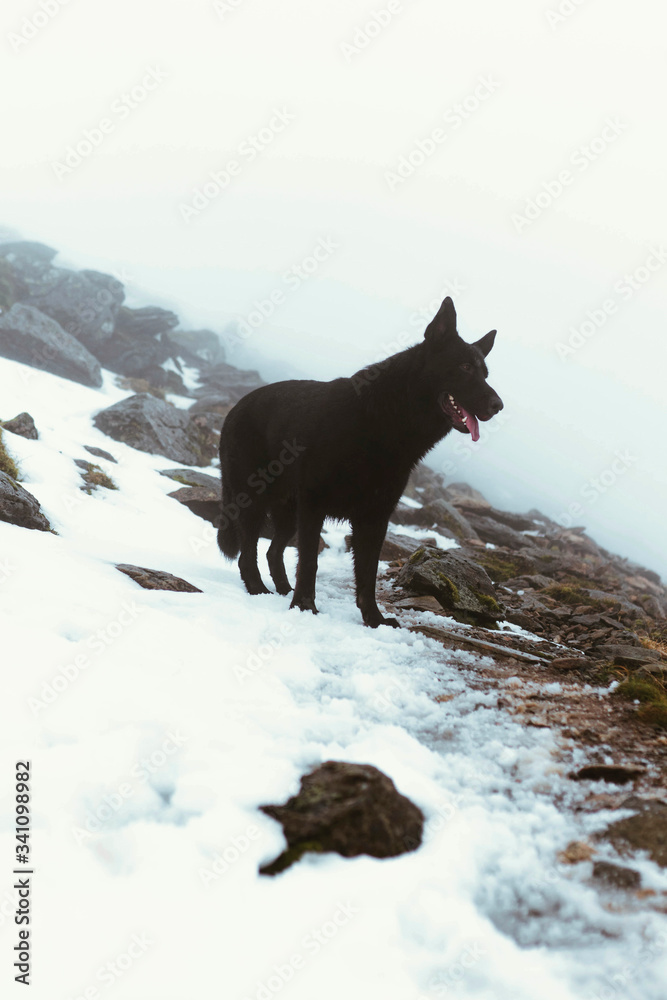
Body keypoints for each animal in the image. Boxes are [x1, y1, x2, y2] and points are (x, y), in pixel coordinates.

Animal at [217, 294, 504, 624]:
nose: (498, 405)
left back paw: (282, 590)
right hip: (254, 502)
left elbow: (368, 572)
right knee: (247, 553)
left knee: (272, 551)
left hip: (287, 514)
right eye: (465, 366)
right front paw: (305, 607)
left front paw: (373, 619)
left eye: (485, 374)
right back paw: (258, 589)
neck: (384, 423)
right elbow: (311, 563)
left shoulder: (374, 517)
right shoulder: (315, 506)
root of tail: (235, 409)